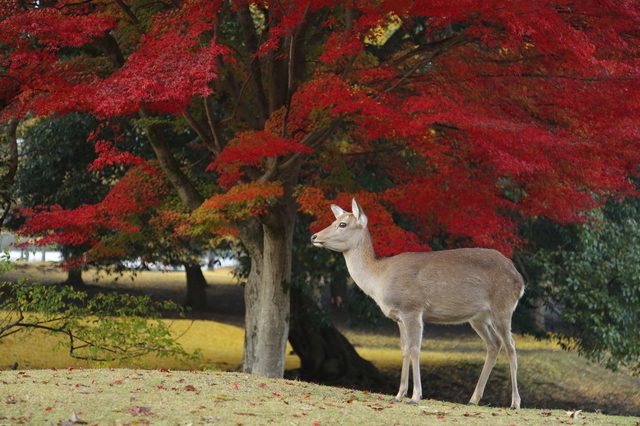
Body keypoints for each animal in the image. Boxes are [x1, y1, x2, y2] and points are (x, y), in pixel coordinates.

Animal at [310, 199, 524, 410]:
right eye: (334, 221)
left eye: (342, 224)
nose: (314, 236)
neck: (379, 278)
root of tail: (520, 280)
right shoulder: (398, 316)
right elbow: (404, 349)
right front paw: (398, 395)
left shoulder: (412, 307)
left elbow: (415, 349)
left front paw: (415, 396)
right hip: (478, 317)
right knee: (494, 344)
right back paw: (473, 399)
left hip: (503, 306)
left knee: (511, 347)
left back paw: (515, 402)